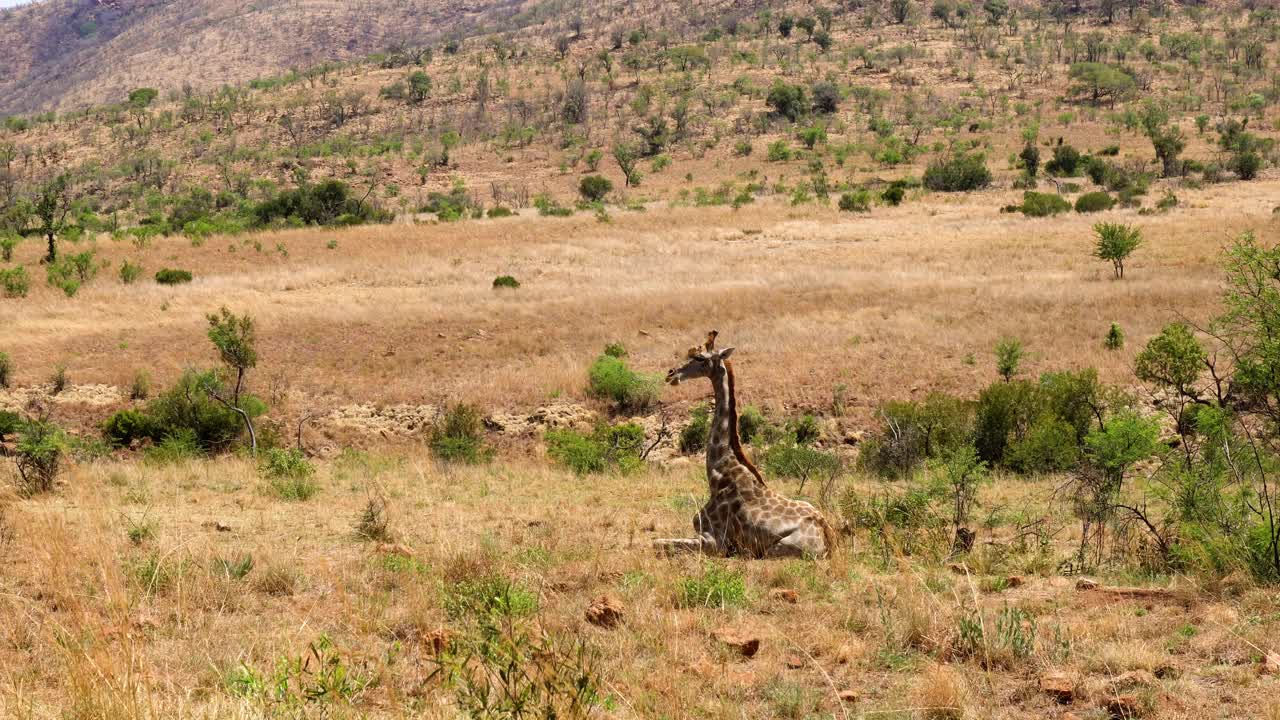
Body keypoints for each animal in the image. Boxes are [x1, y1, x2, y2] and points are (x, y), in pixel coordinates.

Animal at [655, 327, 834, 558]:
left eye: (700, 357)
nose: (671, 375)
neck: (719, 473)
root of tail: (829, 536)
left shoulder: (715, 542)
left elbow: (657, 542)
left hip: (777, 548)